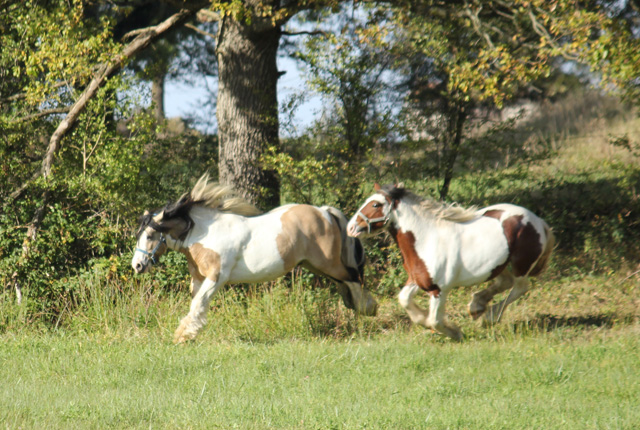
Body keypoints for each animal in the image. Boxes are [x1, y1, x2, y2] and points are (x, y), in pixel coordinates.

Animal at [132, 175, 378, 342]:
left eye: (150, 235)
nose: (137, 265)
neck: (205, 233)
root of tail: (324, 211)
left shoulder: (216, 278)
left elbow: (199, 303)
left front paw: (182, 336)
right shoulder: (199, 279)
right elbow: (197, 305)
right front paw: (190, 333)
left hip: (328, 264)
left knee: (354, 278)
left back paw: (368, 310)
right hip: (316, 265)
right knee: (346, 283)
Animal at [348, 183, 552, 340]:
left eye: (375, 204)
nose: (351, 227)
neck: (427, 238)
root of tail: (539, 221)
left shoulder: (439, 289)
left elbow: (435, 320)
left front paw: (455, 332)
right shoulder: (418, 280)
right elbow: (405, 300)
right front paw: (426, 321)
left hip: (521, 265)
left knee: (520, 288)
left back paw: (489, 317)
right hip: (499, 265)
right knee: (505, 282)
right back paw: (476, 306)